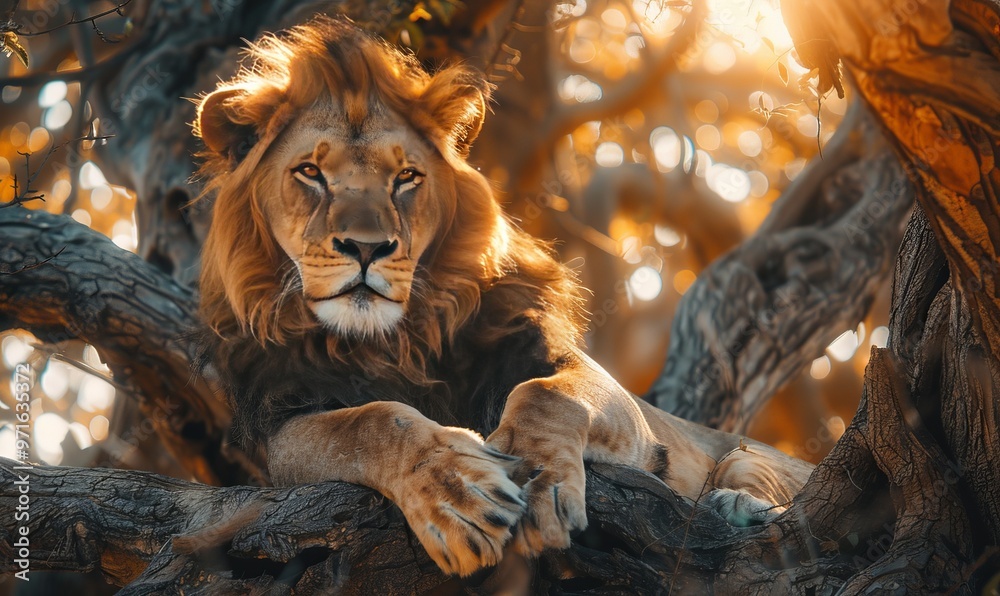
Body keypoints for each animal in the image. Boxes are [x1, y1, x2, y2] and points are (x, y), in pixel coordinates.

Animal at [193, 16, 814, 578]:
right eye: (310, 172)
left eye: (407, 178)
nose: (366, 247)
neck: (396, 341)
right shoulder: (284, 426)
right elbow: (372, 422)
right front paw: (457, 494)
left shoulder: (586, 381)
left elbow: (545, 394)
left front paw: (539, 480)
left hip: (753, 453)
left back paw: (739, 506)